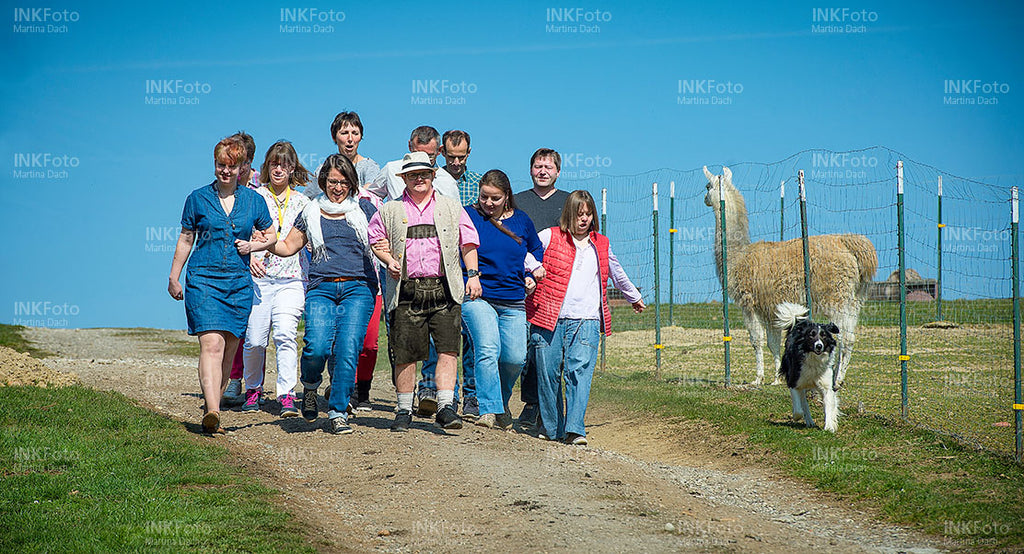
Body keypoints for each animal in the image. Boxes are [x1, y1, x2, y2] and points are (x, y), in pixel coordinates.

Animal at [774, 303, 839, 432]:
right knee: (803, 402)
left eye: (824, 335)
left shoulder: (827, 385)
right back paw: (809, 420)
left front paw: (829, 426)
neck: (814, 359)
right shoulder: (794, 382)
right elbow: (798, 409)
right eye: (811, 335)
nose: (819, 346)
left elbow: (829, 405)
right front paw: (796, 417)